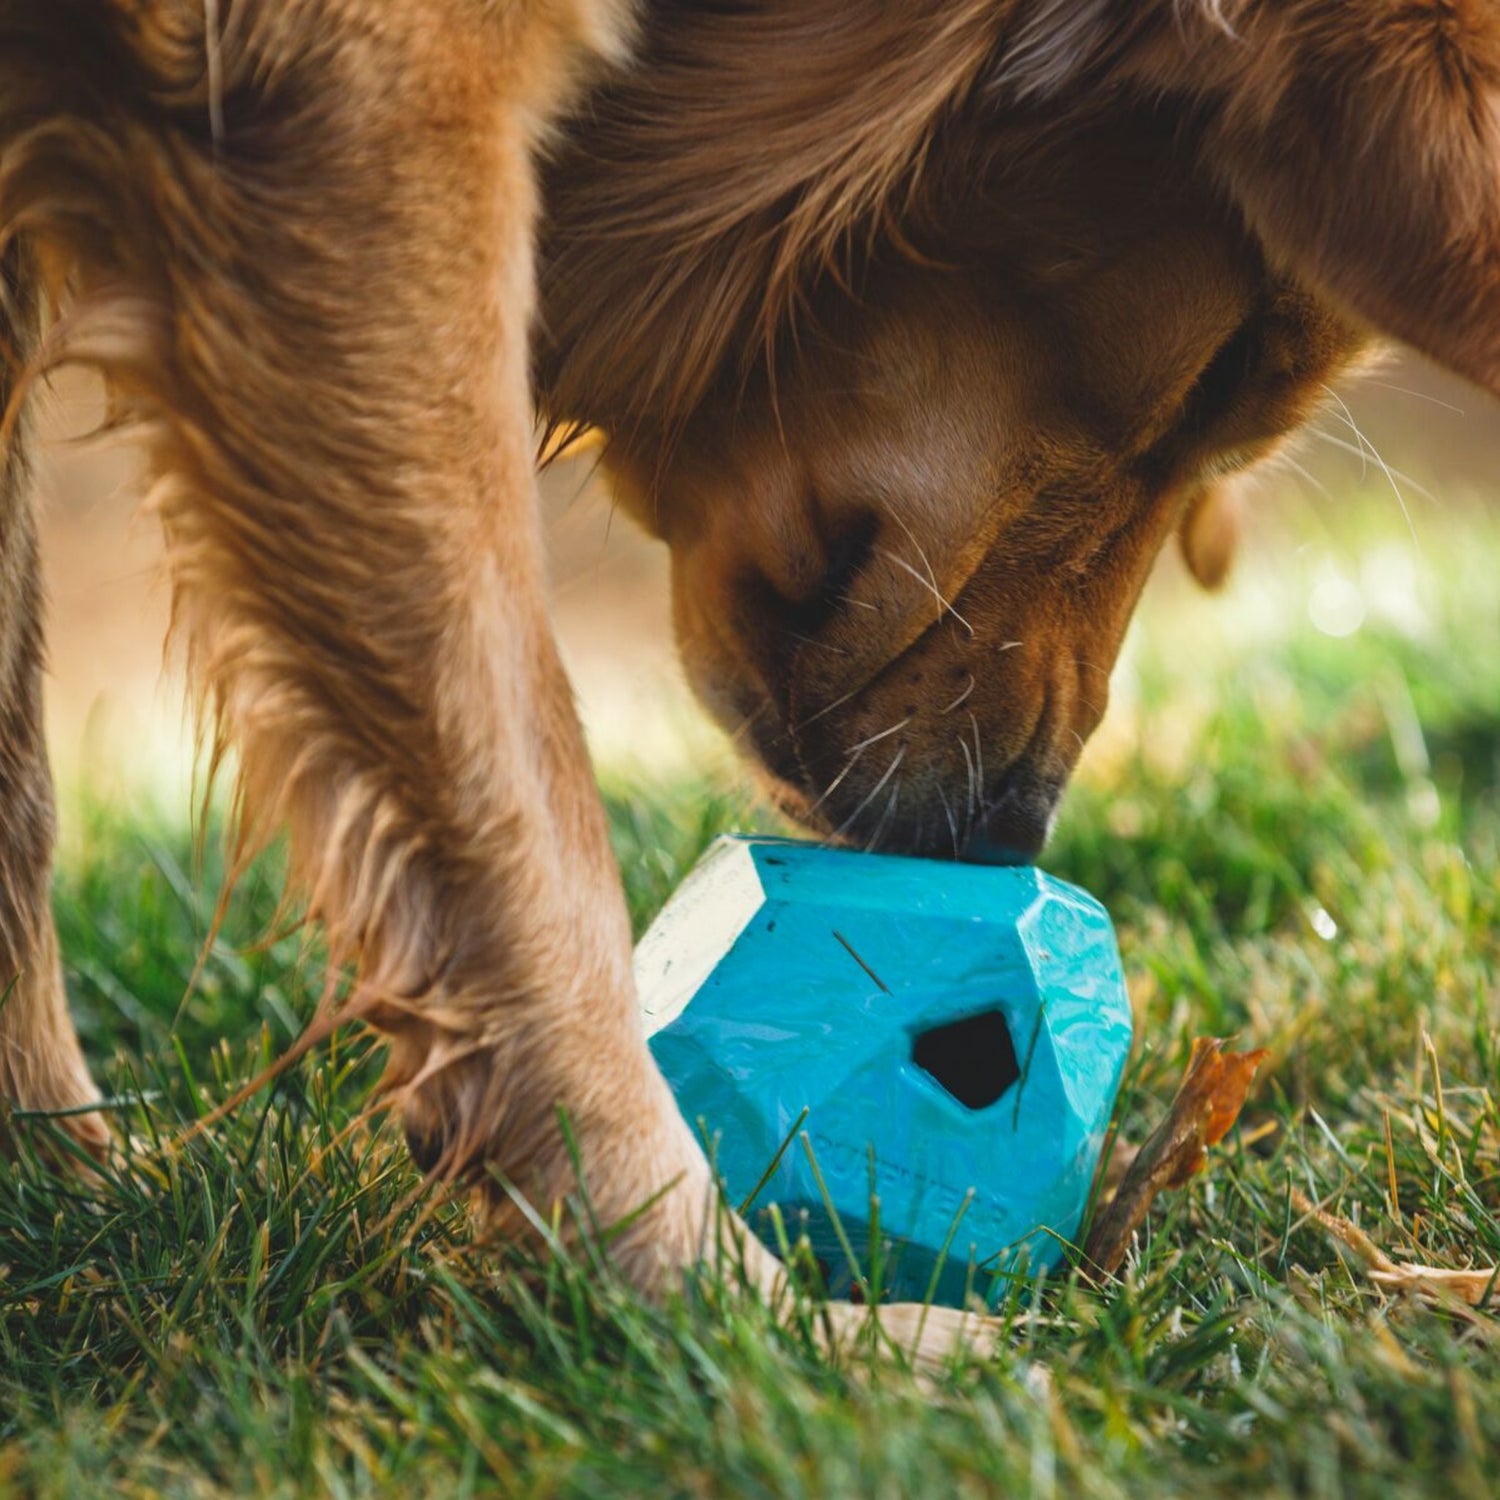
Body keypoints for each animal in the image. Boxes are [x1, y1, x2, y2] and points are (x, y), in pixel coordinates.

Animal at [2, 0, 1500, 1362]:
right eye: (1230, 370)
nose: (1011, 831)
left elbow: (21, 780)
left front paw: (58, 1186)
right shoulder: (364, 111)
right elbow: (524, 811)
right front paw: (715, 1305)